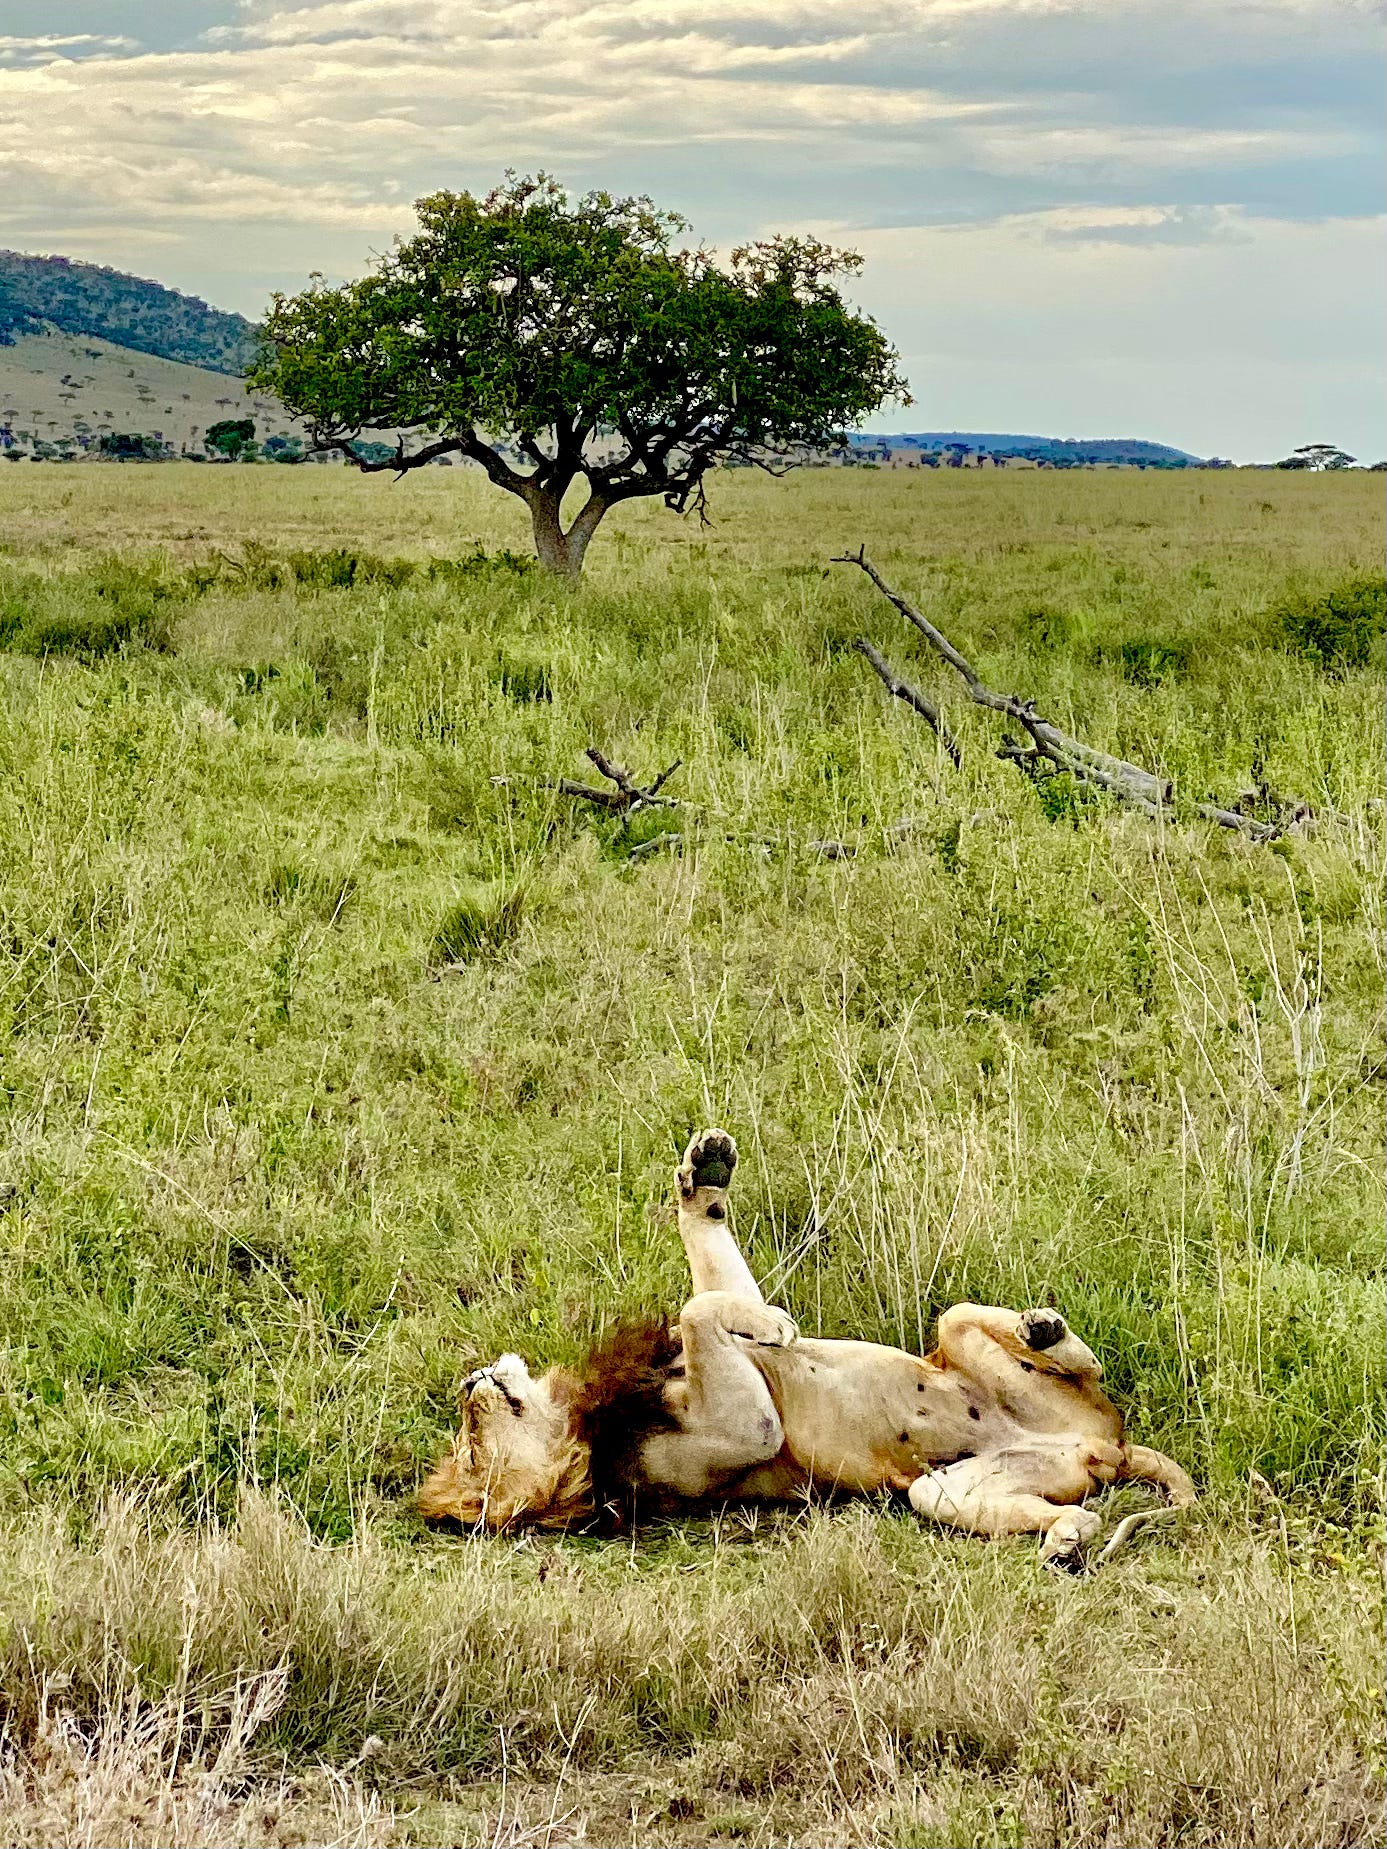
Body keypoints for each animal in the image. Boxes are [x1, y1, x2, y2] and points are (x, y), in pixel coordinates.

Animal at [423, 1116, 1198, 1567]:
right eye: (472, 1451)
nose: (471, 1382)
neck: (586, 1430)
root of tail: (1102, 1447)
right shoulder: (744, 1432)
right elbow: (699, 1307)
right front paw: (772, 1322)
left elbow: (715, 1284)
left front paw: (704, 1175)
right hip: (942, 1491)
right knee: (1062, 1496)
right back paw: (1066, 1536)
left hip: (969, 1356)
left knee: (1039, 1348)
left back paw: (1044, 1329)